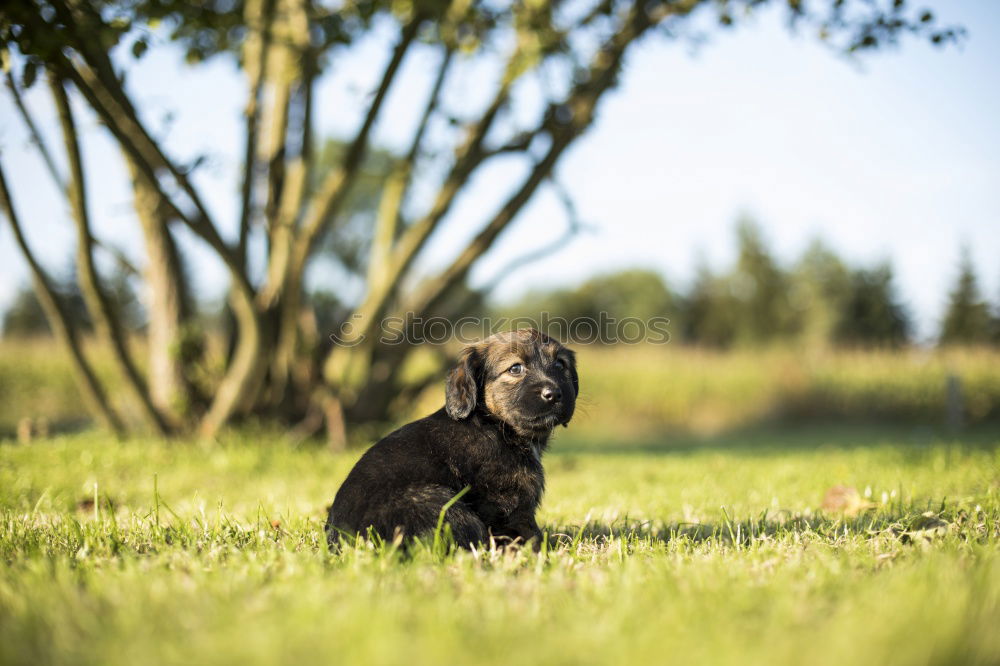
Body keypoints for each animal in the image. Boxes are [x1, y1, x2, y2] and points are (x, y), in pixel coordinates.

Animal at [328, 330, 580, 548]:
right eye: (515, 368)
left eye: (560, 365)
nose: (553, 394)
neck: (493, 424)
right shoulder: (507, 503)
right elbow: (530, 535)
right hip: (440, 502)